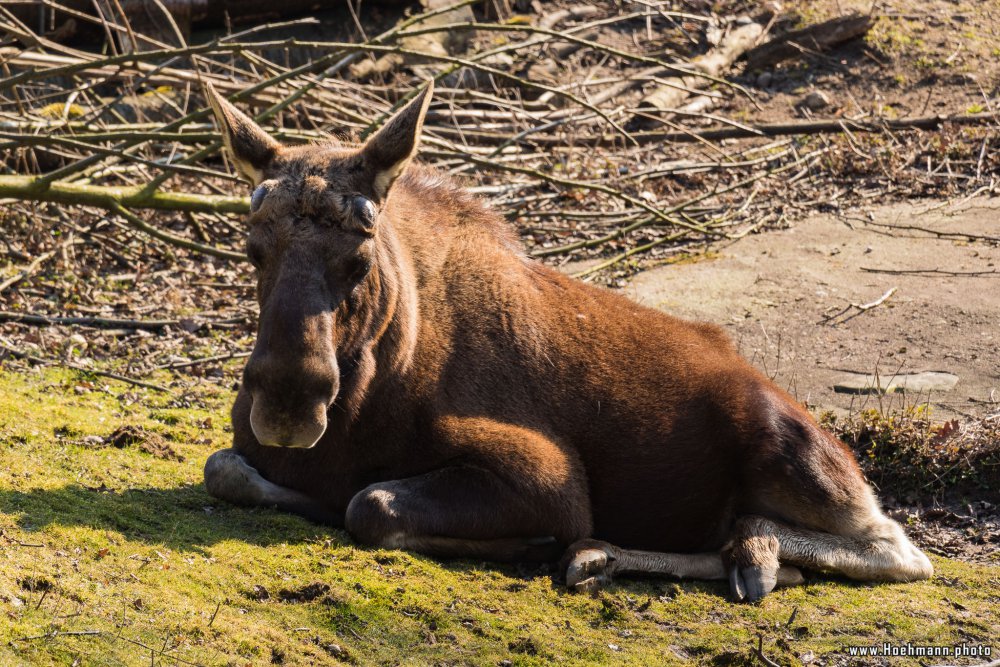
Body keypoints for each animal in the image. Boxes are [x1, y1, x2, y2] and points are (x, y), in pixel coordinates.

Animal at [201, 81, 928, 604]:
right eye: (253, 250)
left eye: (357, 260)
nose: (288, 406)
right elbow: (227, 470)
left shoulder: (552, 479)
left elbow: (369, 504)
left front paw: (533, 544)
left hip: (790, 448)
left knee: (898, 549)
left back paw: (711, 550)